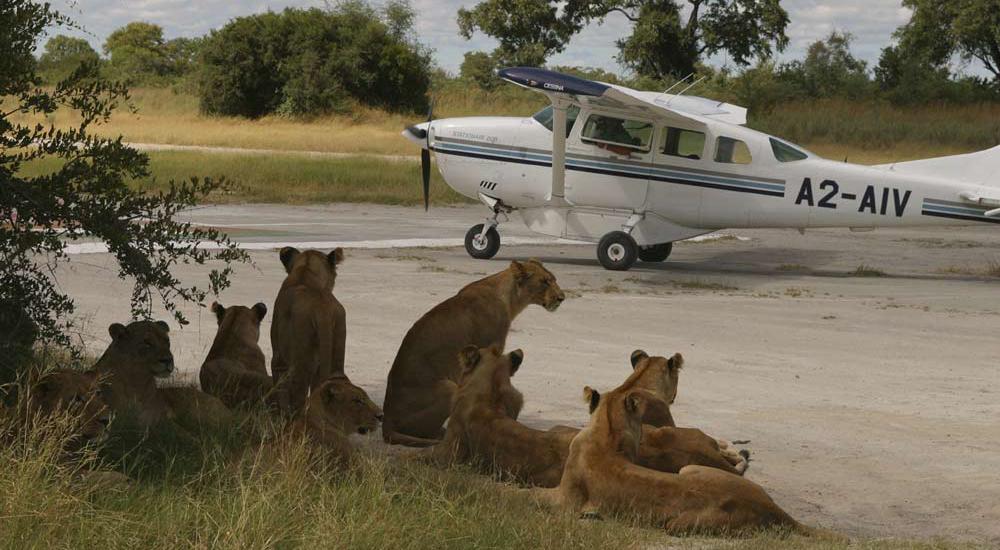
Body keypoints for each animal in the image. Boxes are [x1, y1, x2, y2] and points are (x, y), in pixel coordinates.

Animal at [272, 249, 350, 414]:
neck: (306, 271)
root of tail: (321, 310)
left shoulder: (278, 359)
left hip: (301, 364)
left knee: (298, 397)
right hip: (336, 356)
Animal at [382, 262, 568, 448]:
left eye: (554, 279)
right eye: (545, 281)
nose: (562, 298)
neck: (509, 297)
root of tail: (386, 422)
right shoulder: (491, 350)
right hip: (448, 388)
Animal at [532, 370, 804, 536]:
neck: (606, 433)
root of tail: (772, 508)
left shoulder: (566, 499)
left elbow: (528, 494)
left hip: (676, 525)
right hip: (689, 469)